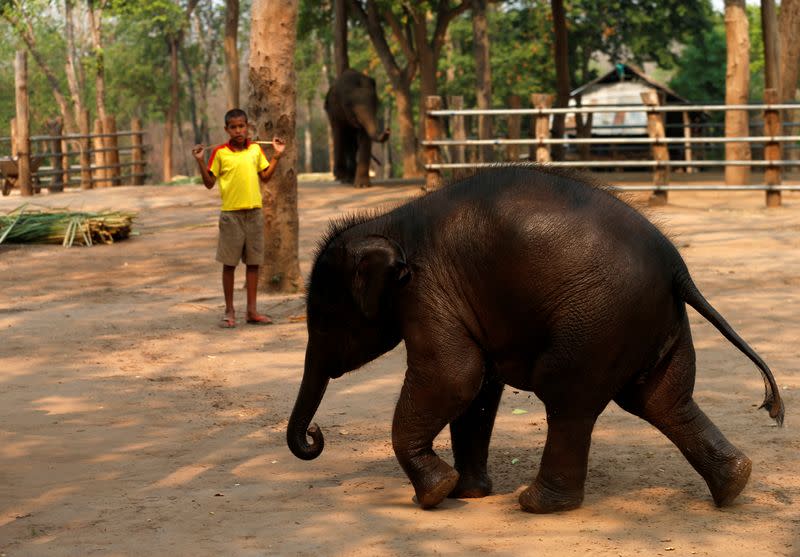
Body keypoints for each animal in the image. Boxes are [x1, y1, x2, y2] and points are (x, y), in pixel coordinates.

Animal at [286, 165, 780, 512]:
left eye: (323, 318)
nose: (314, 434)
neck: (387, 223)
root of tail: (677, 266)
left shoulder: (426, 293)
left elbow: (454, 377)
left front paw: (433, 495)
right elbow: (478, 388)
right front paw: (466, 494)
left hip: (597, 321)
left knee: (567, 396)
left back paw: (537, 505)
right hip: (657, 322)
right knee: (662, 400)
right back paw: (735, 484)